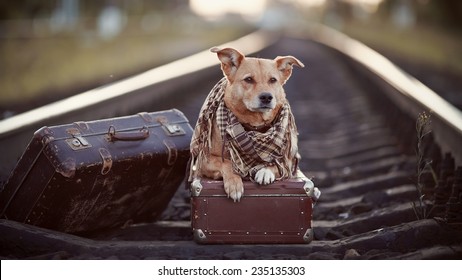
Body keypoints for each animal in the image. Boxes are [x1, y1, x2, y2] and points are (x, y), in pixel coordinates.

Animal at [189, 47, 318, 201]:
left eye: (273, 80)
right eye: (248, 79)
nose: (267, 97)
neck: (255, 126)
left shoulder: (289, 162)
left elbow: (277, 164)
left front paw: (265, 171)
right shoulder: (204, 161)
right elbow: (227, 163)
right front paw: (234, 184)